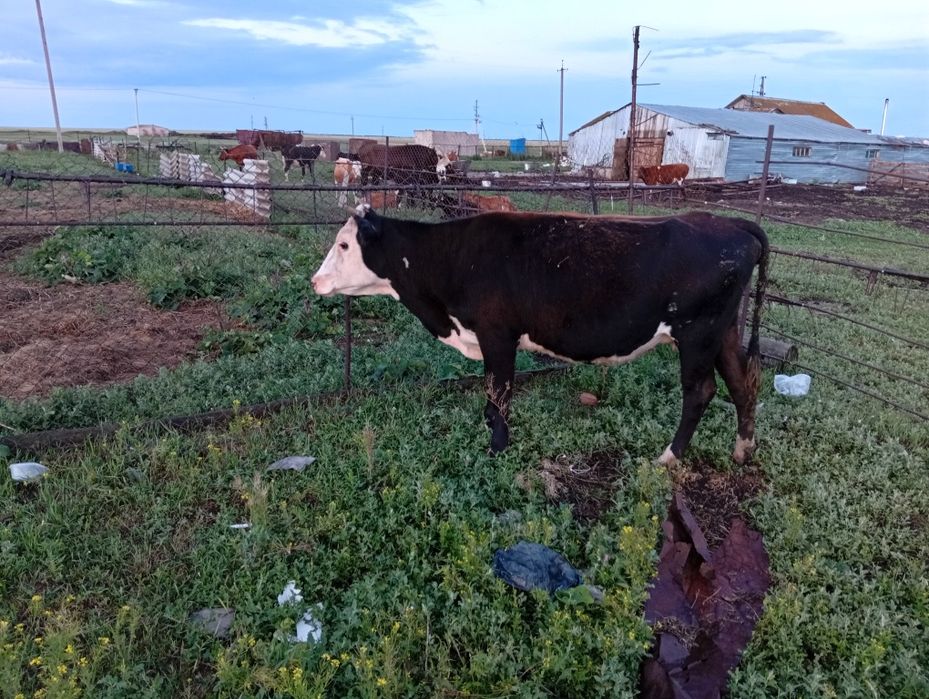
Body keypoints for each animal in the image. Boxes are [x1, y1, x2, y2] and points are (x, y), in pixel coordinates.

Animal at [312, 208, 769, 465]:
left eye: (344, 245)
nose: (316, 280)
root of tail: (729, 223)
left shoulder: (498, 335)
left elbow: (499, 393)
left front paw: (497, 448)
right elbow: (492, 394)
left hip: (697, 333)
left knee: (701, 392)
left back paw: (669, 458)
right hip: (724, 332)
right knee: (742, 385)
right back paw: (742, 450)